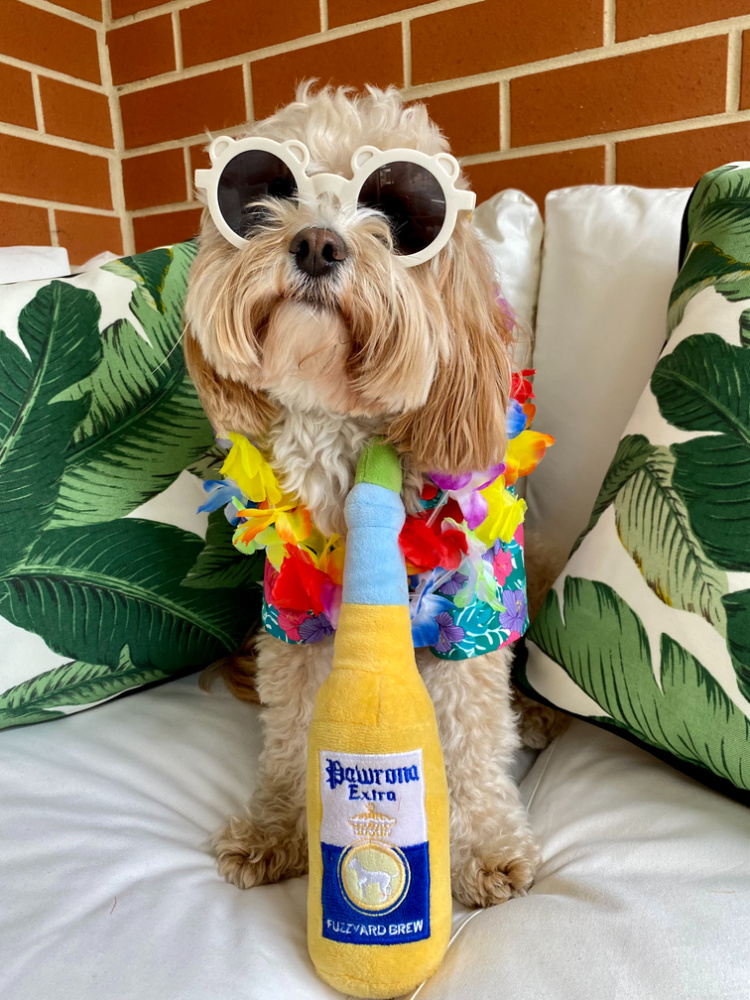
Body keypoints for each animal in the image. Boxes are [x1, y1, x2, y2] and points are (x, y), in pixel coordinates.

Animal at [182, 84, 548, 908]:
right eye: (267, 188)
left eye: (401, 211)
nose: (318, 244)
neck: (344, 433)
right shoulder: (292, 614)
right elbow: (292, 728)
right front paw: (279, 824)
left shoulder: (470, 614)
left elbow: (474, 735)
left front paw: (482, 846)